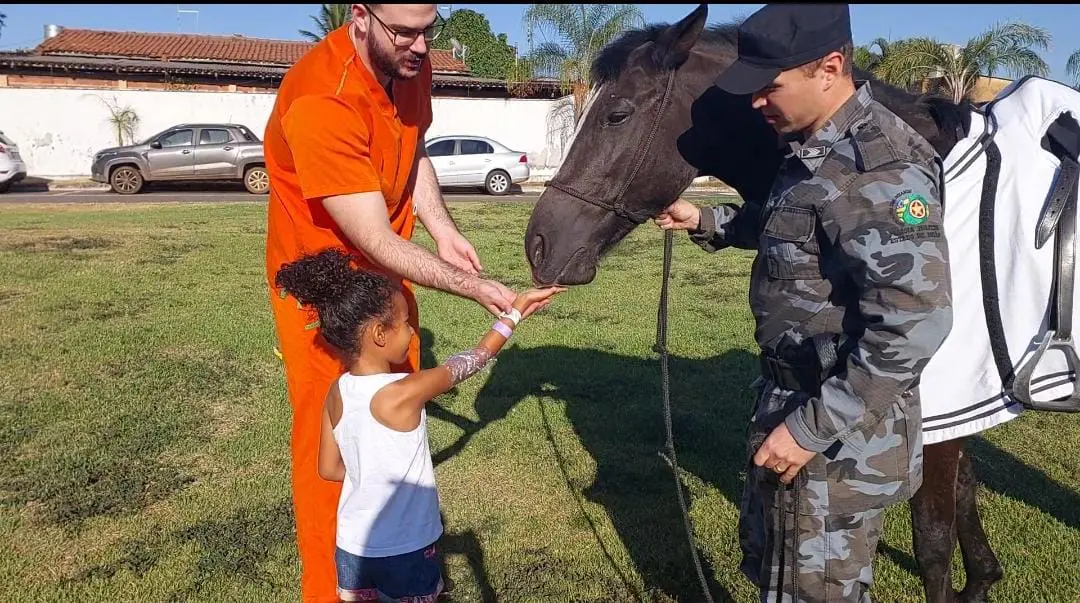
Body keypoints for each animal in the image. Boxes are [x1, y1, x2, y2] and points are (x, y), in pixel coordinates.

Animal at [527, 4, 997, 603]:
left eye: (617, 114)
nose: (539, 246)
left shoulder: (938, 403)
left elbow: (934, 537)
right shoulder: (954, 411)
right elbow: (964, 497)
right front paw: (983, 578)